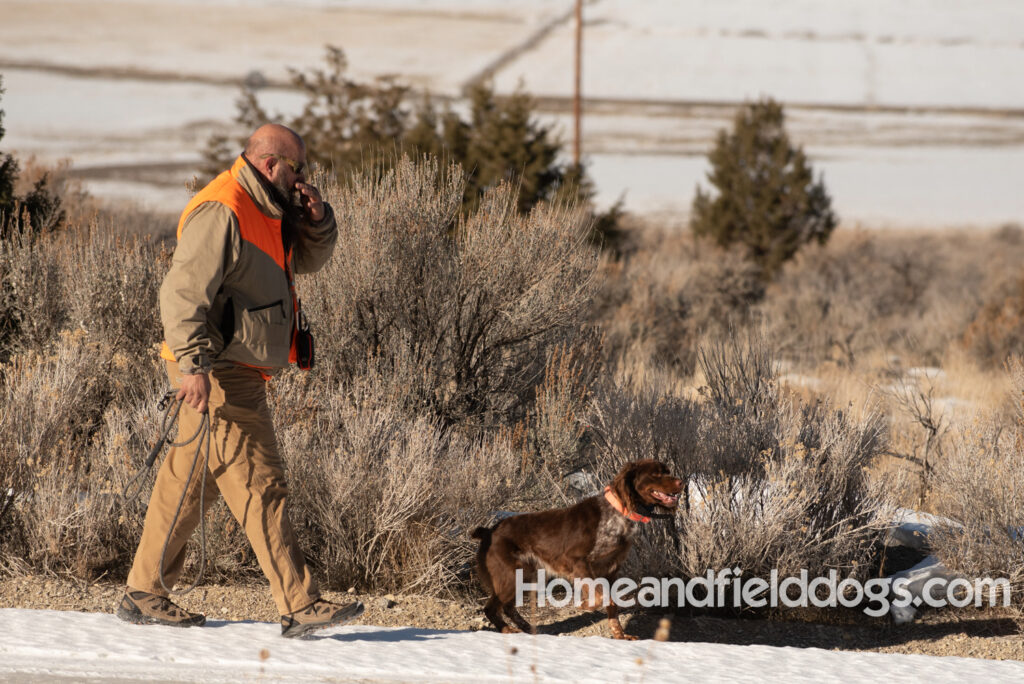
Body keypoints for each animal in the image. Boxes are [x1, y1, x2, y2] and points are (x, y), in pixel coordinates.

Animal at [468, 458, 679, 643]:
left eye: (667, 471)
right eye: (656, 474)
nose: (682, 482)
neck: (618, 513)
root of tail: (489, 531)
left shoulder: (611, 569)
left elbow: (611, 603)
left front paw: (620, 636)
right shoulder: (577, 561)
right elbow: (601, 596)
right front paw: (585, 605)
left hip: (527, 574)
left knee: (508, 606)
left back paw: (528, 628)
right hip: (510, 575)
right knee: (491, 608)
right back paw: (507, 629)